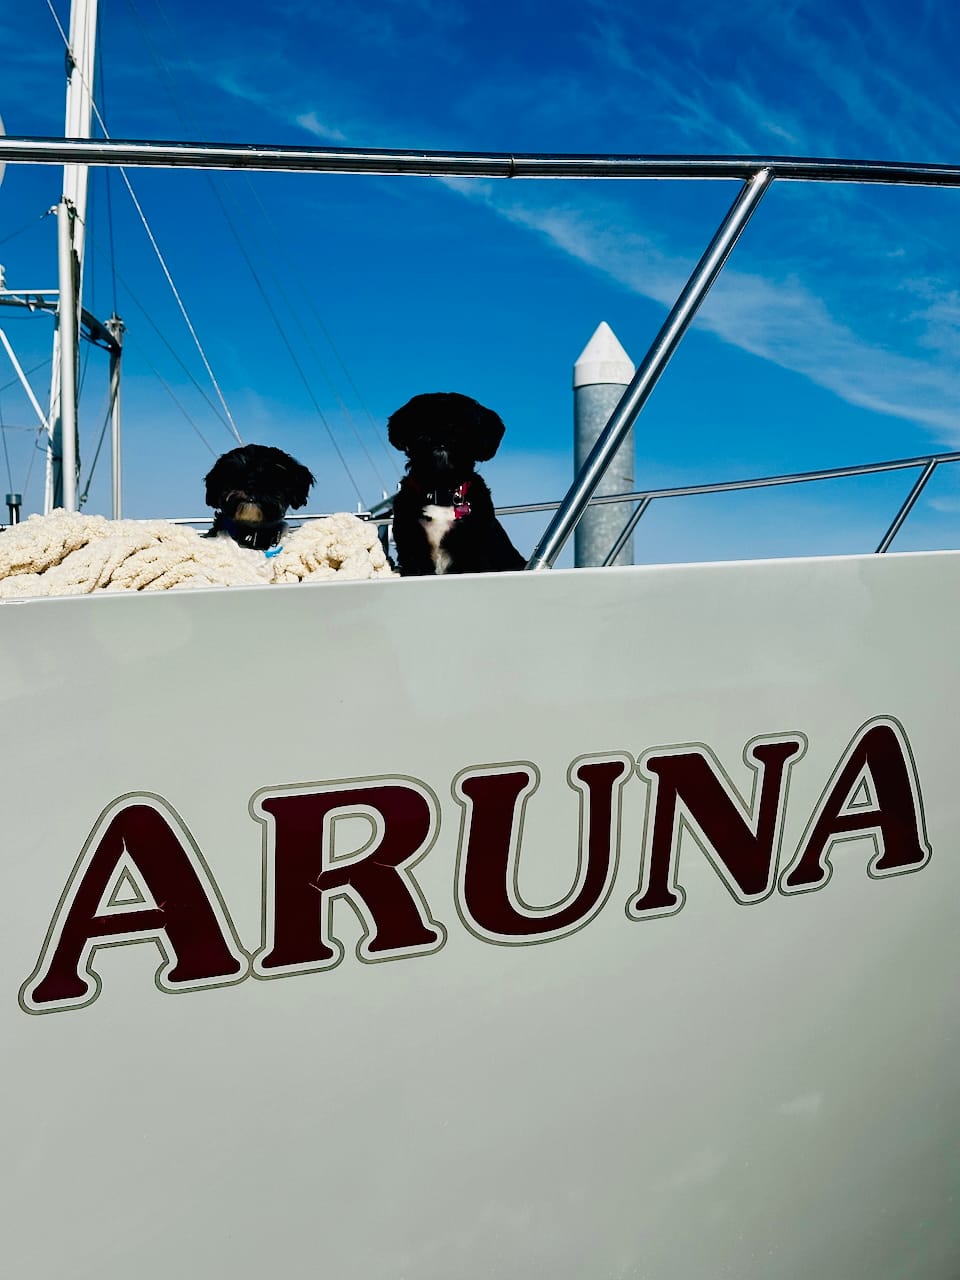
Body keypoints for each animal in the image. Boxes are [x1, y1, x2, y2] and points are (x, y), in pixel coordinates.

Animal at [387, 392, 526, 576]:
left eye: (461, 424)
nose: (441, 433)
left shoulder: (472, 549)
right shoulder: (412, 545)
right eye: (424, 419)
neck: (442, 488)